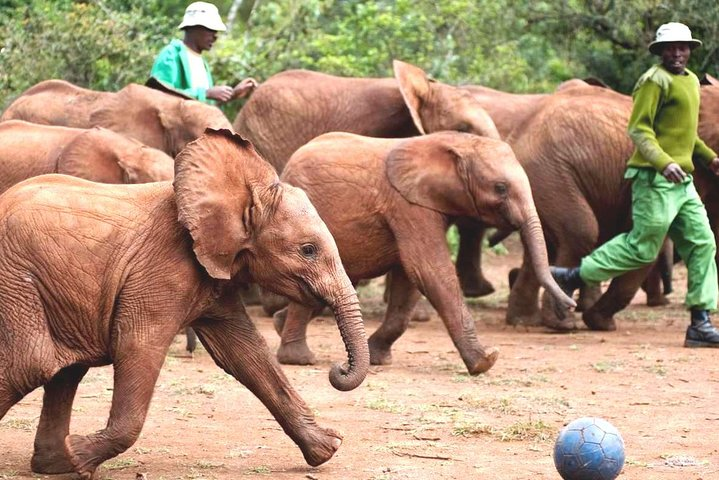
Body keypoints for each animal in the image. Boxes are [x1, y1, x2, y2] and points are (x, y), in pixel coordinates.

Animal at [0, 129, 372, 478]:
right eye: (308, 250)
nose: (337, 370)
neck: (243, 190)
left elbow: (246, 354)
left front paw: (327, 449)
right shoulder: (162, 269)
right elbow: (137, 346)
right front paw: (80, 454)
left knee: (65, 371)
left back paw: (55, 464)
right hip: (16, 280)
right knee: (32, 364)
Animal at [272, 130, 576, 376]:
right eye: (500, 188)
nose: (570, 307)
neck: (455, 143)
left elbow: (408, 281)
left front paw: (378, 358)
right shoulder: (409, 206)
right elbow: (428, 270)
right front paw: (485, 361)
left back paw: (278, 325)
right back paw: (299, 359)